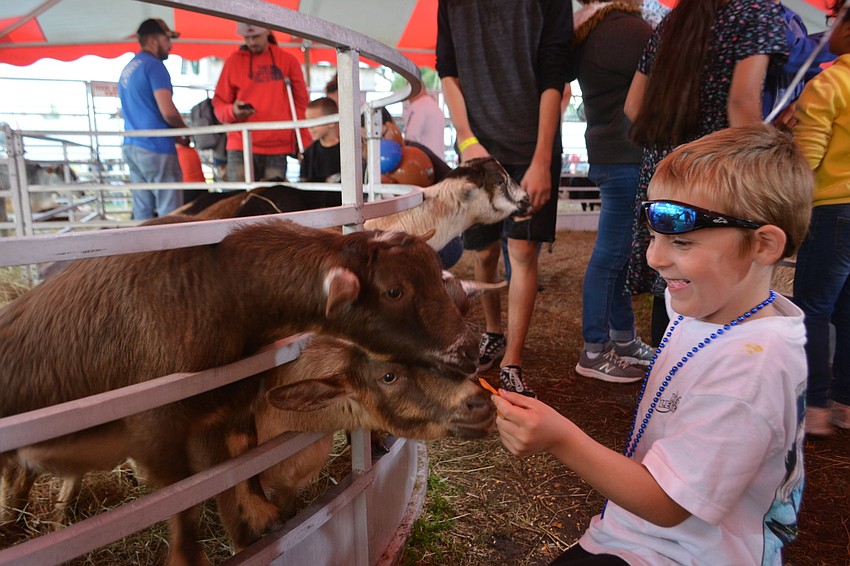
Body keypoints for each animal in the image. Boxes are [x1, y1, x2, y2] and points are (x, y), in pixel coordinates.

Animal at [0, 219, 479, 566]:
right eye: (394, 290)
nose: (471, 350)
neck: (217, 293)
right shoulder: (156, 428)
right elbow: (185, 499)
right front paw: (193, 555)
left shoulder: (231, 409)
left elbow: (241, 475)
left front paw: (261, 519)